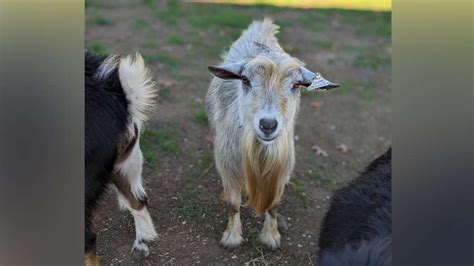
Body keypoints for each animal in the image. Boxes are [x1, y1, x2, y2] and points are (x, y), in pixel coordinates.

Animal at [205, 18, 336, 249]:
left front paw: (271, 236)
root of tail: (263, 26)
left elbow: (273, 205)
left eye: (296, 84)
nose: (268, 124)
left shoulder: (282, 168)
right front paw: (231, 237)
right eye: (245, 80)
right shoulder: (228, 165)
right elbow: (233, 204)